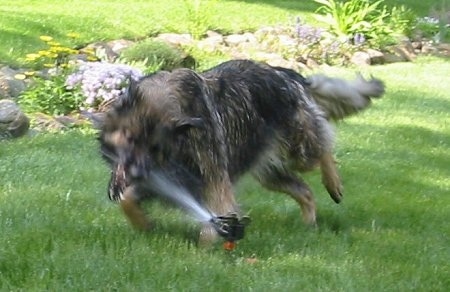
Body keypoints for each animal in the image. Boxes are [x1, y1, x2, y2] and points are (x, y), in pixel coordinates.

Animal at [97, 59, 384, 244]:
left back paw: (333, 183)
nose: (129, 176)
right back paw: (309, 224)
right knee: (304, 190)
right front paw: (143, 224)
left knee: (324, 146)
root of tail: (284, 73)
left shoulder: (212, 178)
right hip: (269, 172)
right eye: (128, 143)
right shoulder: (170, 179)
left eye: (156, 149)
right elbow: (128, 200)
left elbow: (216, 216)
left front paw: (206, 251)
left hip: (299, 148)